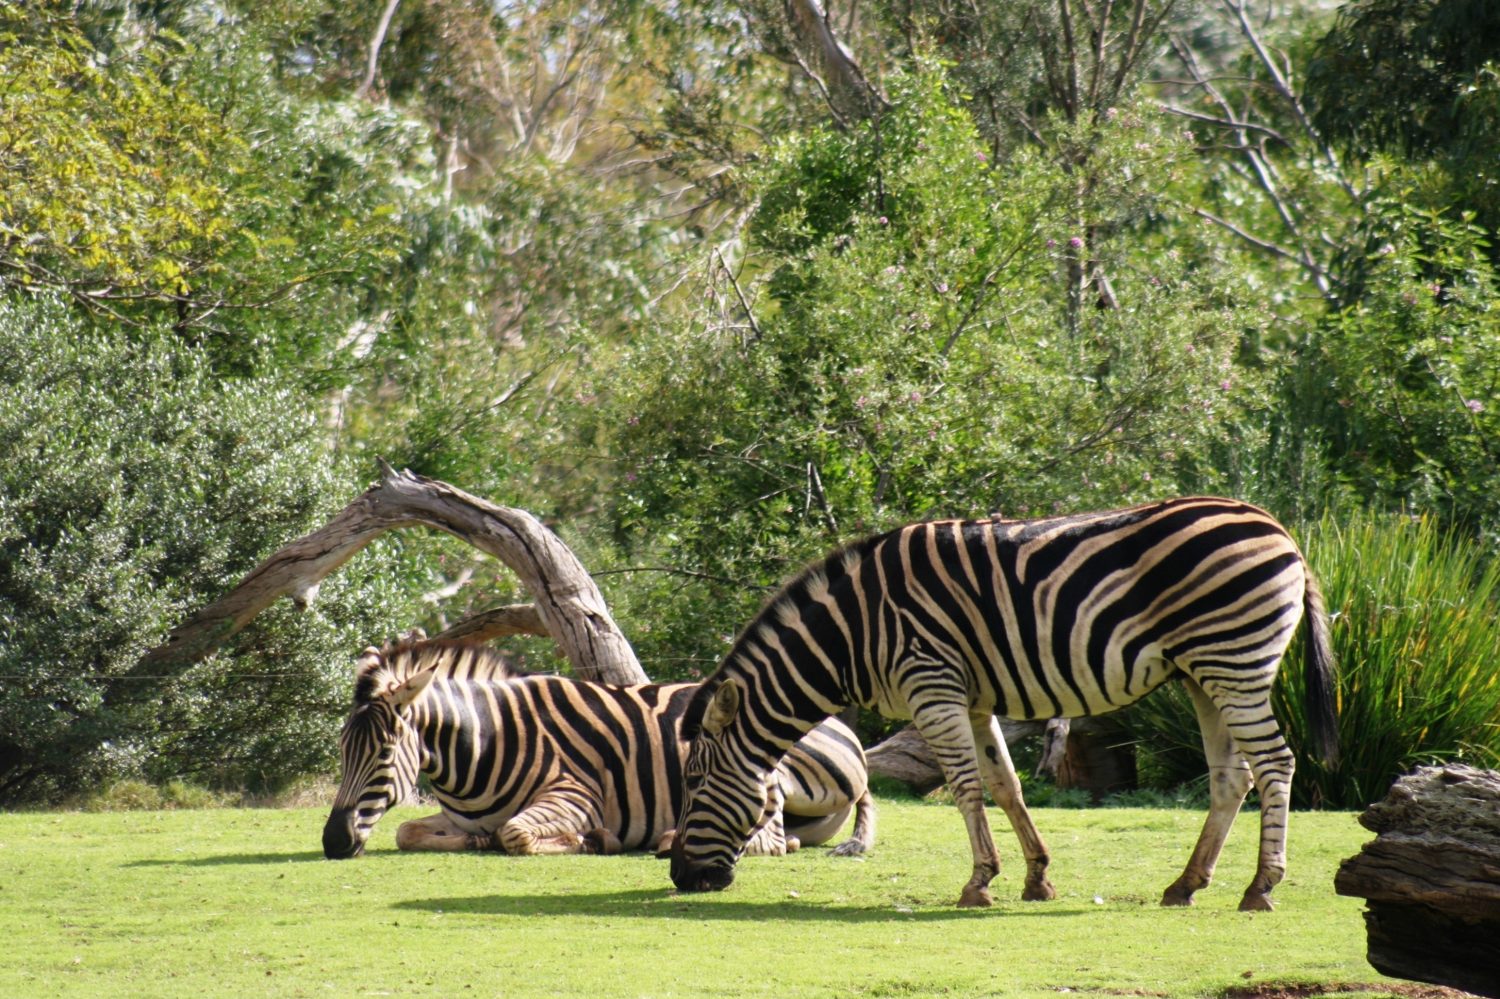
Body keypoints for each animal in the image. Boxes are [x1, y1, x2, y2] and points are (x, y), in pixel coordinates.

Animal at [321, 637, 875, 861]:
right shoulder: (456, 816)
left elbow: (516, 833)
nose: (331, 843)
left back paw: (669, 840)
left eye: (383, 755)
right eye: (343, 750)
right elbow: (408, 833)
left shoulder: (575, 795)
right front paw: (476, 841)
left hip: (765, 763)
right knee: (787, 838)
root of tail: (840, 725)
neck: (484, 743)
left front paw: (593, 840)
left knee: (775, 838)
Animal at [670, 496, 1338, 911]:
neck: (854, 634)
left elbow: (966, 787)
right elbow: (1005, 783)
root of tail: (1278, 527)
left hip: (1235, 659)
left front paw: (978, 884)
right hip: (1205, 672)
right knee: (1232, 776)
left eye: (695, 783)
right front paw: (1036, 877)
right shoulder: (970, 696)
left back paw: (1260, 887)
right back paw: (1187, 884)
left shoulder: (931, 684)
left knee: (1275, 764)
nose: (680, 877)